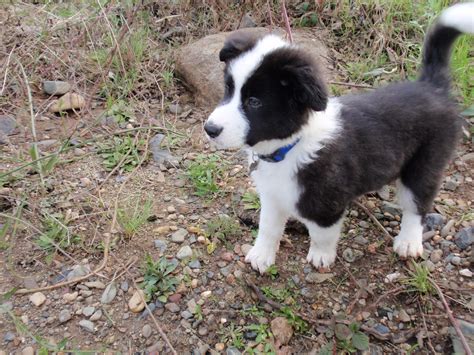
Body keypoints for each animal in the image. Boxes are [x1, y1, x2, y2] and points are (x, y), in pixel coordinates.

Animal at [204, 2, 474, 274]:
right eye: (228, 89)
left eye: (254, 102)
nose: (209, 129)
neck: (289, 147)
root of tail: (431, 87)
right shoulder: (272, 194)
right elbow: (268, 226)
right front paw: (262, 255)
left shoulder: (327, 204)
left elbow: (322, 233)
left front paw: (321, 256)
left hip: (426, 162)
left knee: (417, 204)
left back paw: (408, 241)